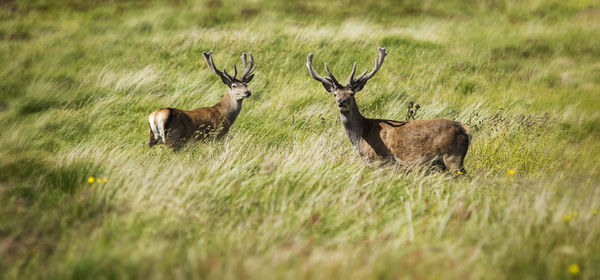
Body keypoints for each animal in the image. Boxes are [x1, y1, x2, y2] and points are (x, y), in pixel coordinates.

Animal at [308, 47, 472, 172]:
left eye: (351, 93)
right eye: (335, 94)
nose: (341, 102)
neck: (361, 137)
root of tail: (466, 130)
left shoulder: (379, 159)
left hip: (453, 157)